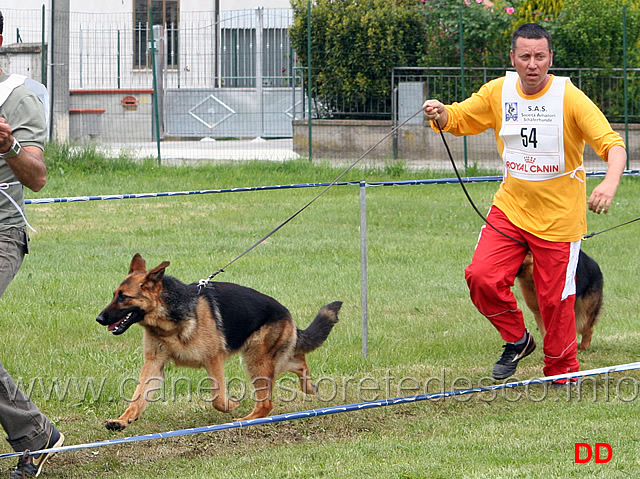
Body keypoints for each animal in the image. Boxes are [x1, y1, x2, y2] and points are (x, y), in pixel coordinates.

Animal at [95, 255, 342, 432]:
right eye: (114, 294)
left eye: (123, 297)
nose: (99, 319)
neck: (170, 321)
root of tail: (287, 313)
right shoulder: (154, 364)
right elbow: (138, 397)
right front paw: (123, 420)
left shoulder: (213, 360)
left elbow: (218, 398)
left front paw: (231, 405)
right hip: (263, 358)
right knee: (298, 361)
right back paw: (308, 387)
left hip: (257, 361)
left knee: (266, 403)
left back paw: (245, 420)